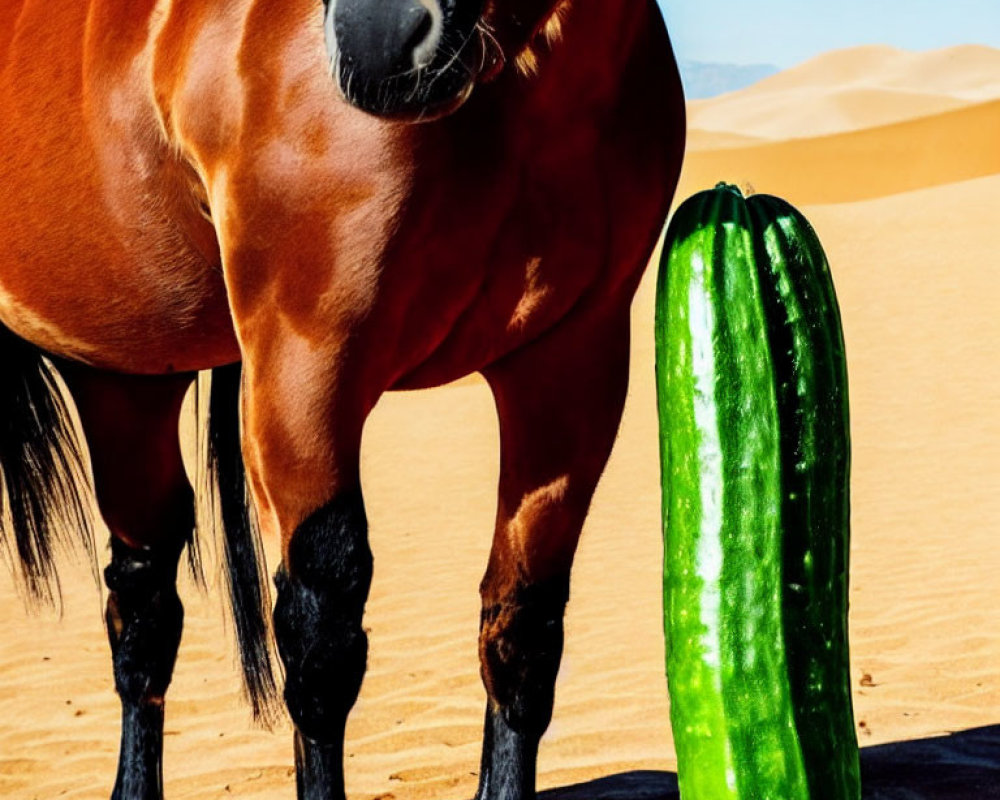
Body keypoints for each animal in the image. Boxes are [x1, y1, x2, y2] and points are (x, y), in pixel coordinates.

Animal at [0, 0, 680, 796]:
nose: (379, 42)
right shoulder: (304, 370)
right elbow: (321, 649)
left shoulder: (574, 365)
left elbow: (522, 633)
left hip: (125, 375)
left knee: (142, 607)